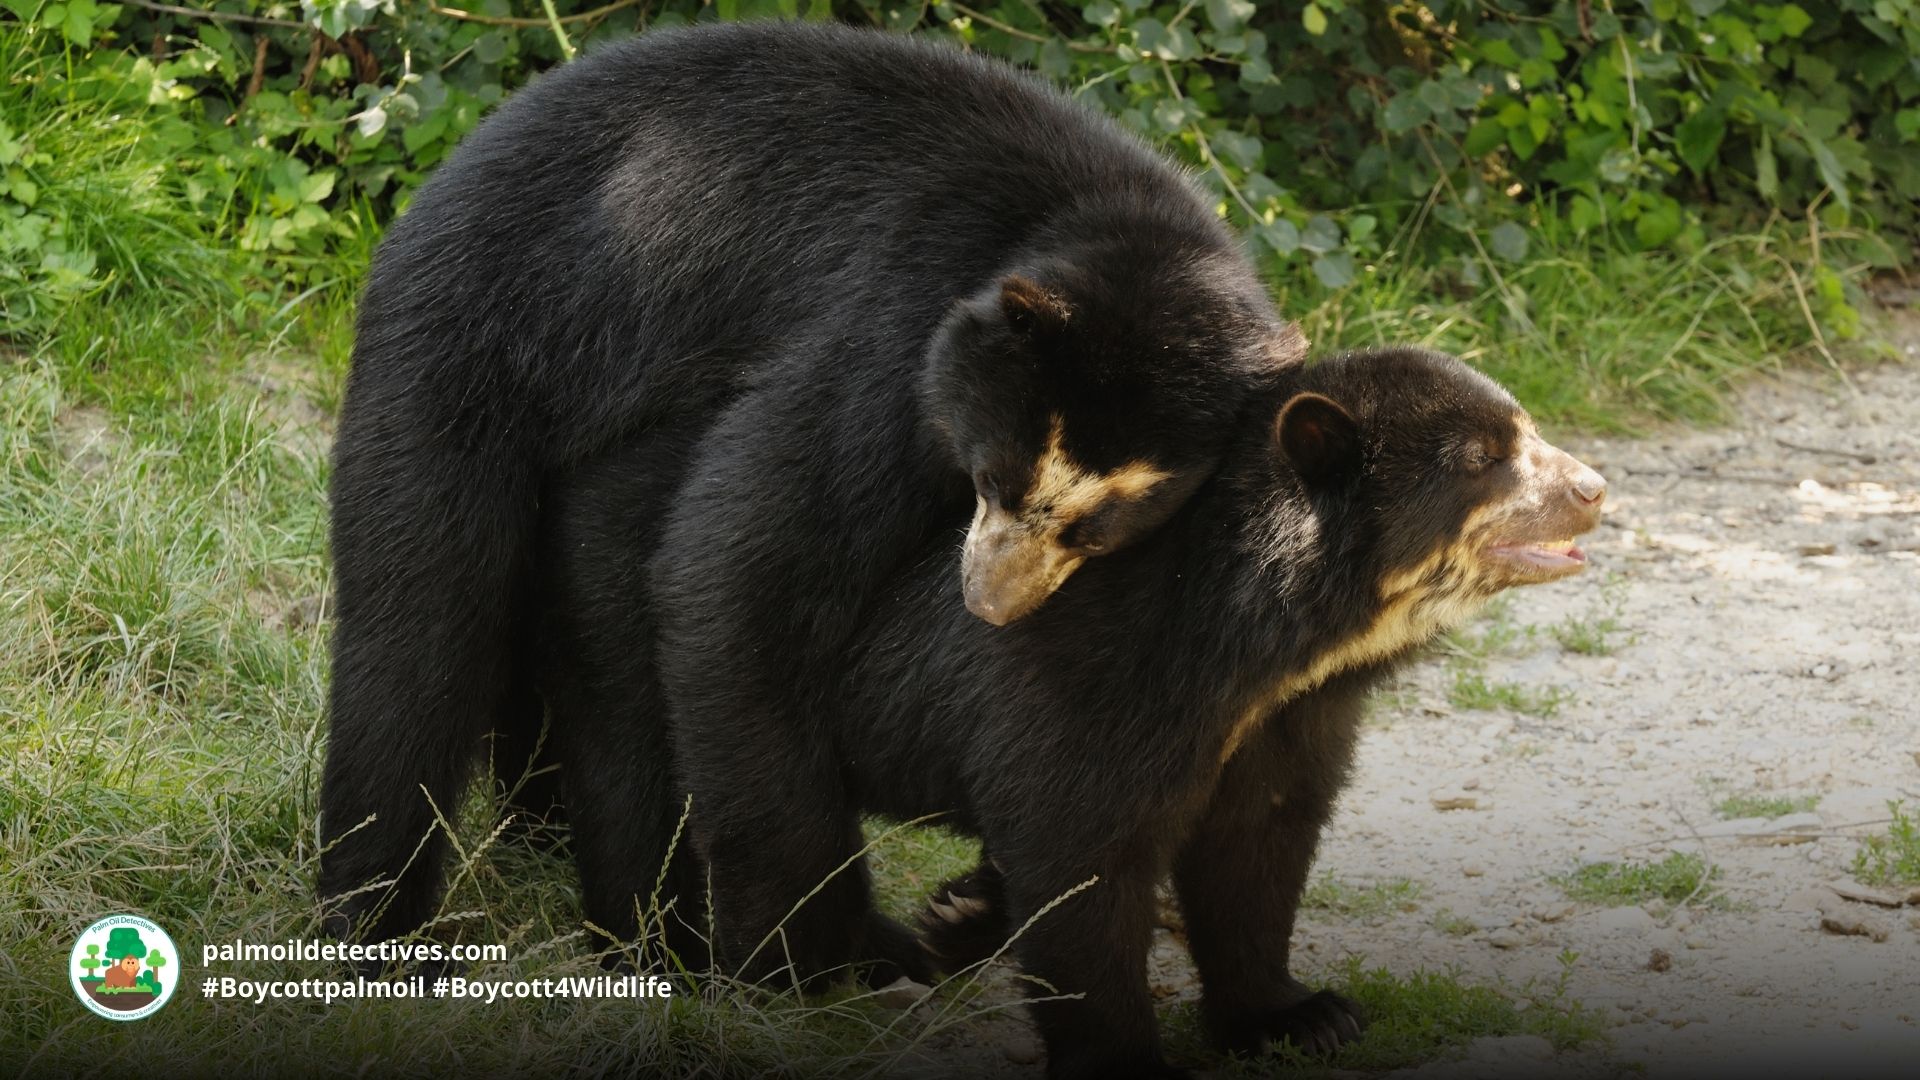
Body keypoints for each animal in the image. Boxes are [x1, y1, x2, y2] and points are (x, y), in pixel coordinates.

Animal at [318, 21, 1305, 959]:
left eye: (1097, 530)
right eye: (992, 479)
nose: (990, 603)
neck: (1111, 219)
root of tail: (452, 168)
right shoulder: (890, 327)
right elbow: (738, 576)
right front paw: (825, 947)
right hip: (471, 346)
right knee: (420, 625)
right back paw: (382, 919)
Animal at [619, 346, 1607, 1076]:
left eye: (1528, 430)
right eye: (1482, 461)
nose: (1594, 489)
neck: (1257, 646)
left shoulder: (1284, 720)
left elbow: (1258, 847)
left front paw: (1300, 1015)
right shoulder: (1082, 680)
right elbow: (1082, 863)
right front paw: (1129, 1058)